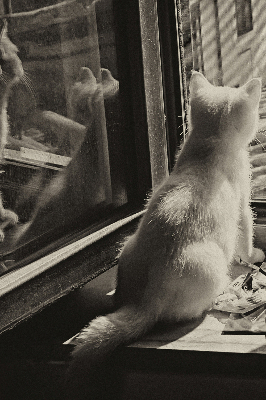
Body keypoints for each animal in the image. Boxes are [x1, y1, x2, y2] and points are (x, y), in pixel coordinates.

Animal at [65, 71, 264, 388]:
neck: (208, 145)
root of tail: (146, 301)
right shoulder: (243, 206)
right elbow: (246, 235)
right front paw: (254, 255)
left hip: (127, 243)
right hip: (211, 267)